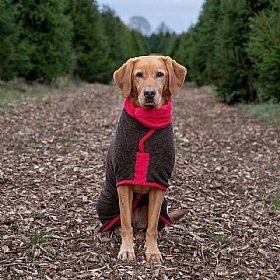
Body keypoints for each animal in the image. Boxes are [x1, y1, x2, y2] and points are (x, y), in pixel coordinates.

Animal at [97, 55, 187, 262]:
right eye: (138, 75)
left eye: (160, 74)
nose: (149, 93)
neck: (148, 120)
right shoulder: (124, 181)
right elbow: (126, 224)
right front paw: (127, 250)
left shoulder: (159, 184)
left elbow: (152, 227)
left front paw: (152, 251)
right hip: (106, 200)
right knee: (122, 222)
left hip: (163, 206)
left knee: (153, 224)